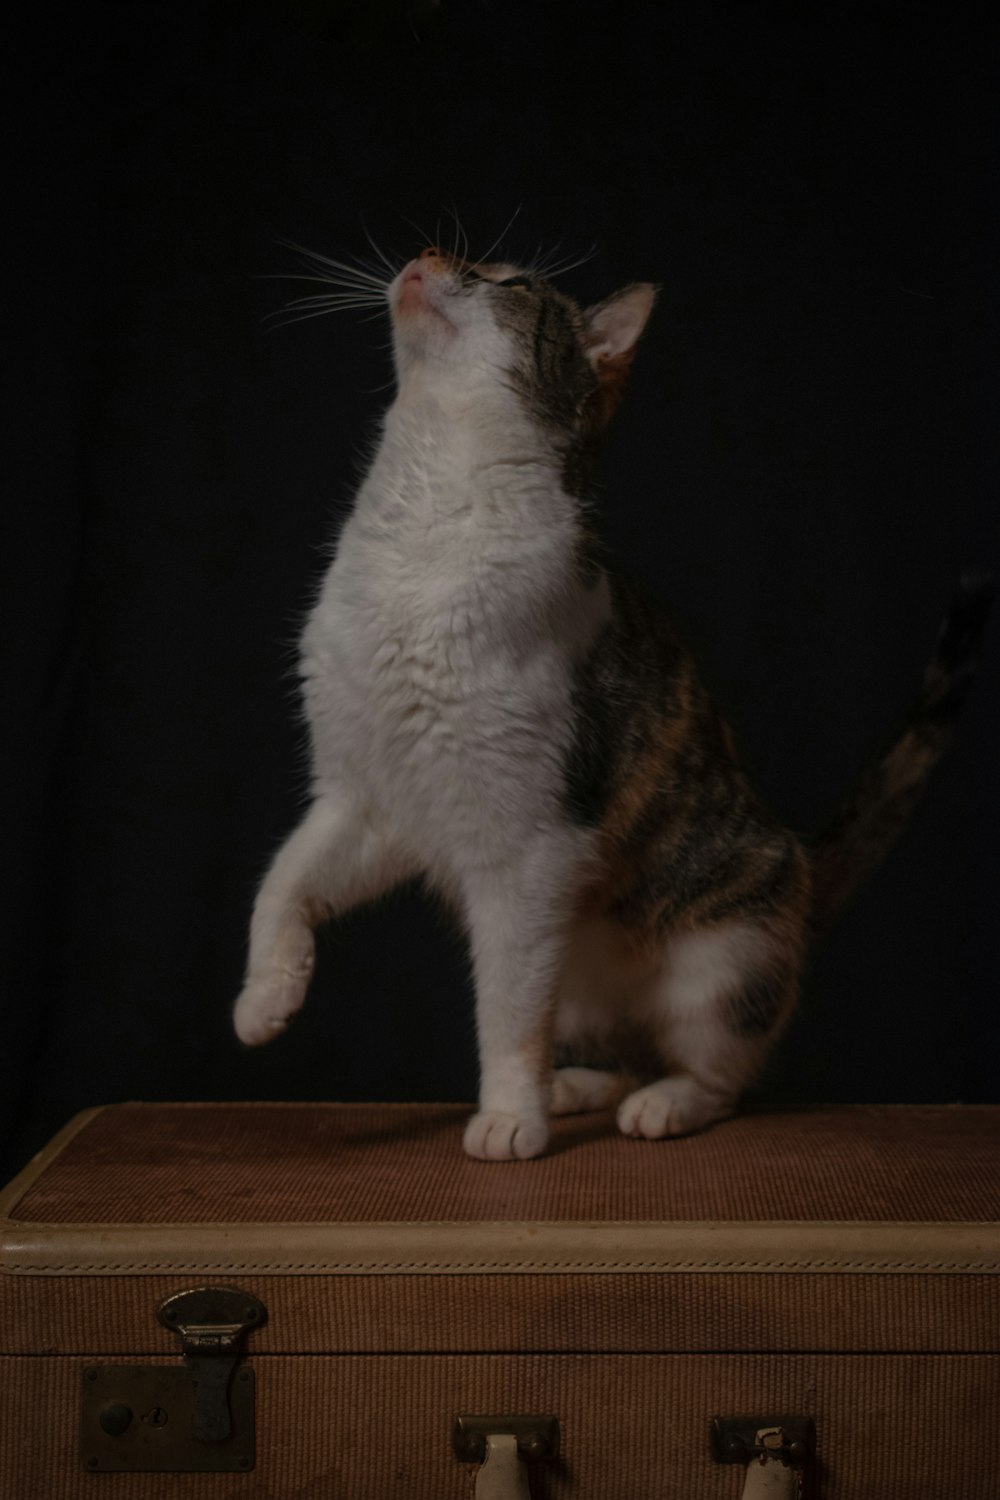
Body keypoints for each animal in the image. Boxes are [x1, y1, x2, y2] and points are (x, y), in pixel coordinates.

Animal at [236, 240, 995, 1164]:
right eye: (462, 260)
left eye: (507, 281)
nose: (429, 254)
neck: (423, 520)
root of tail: (805, 863)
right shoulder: (367, 800)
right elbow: (280, 882)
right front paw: (265, 998)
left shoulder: (526, 848)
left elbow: (506, 1014)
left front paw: (509, 1117)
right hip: (580, 973)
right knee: (620, 1048)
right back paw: (578, 1086)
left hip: (723, 960)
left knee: (713, 1072)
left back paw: (660, 1105)